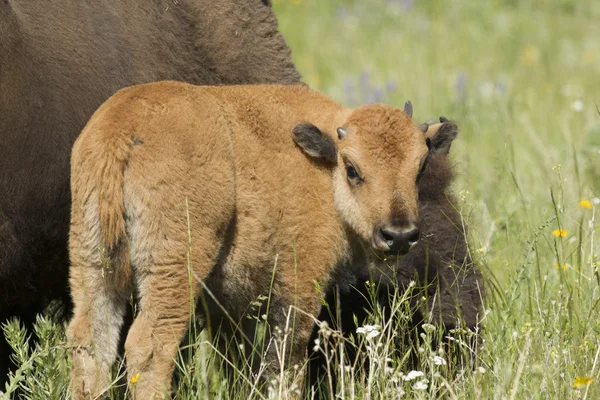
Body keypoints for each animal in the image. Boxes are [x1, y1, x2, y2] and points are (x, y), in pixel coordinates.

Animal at [67, 80, 450, 396]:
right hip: (174, 265)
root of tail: (122, 126)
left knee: (91, 340)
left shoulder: (235, 306)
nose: (399, 235)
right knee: (149, 345)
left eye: (420, 168)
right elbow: (286, 362)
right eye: (353, 169)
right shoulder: (298, 285)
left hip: (91, 256)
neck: (324, 168)